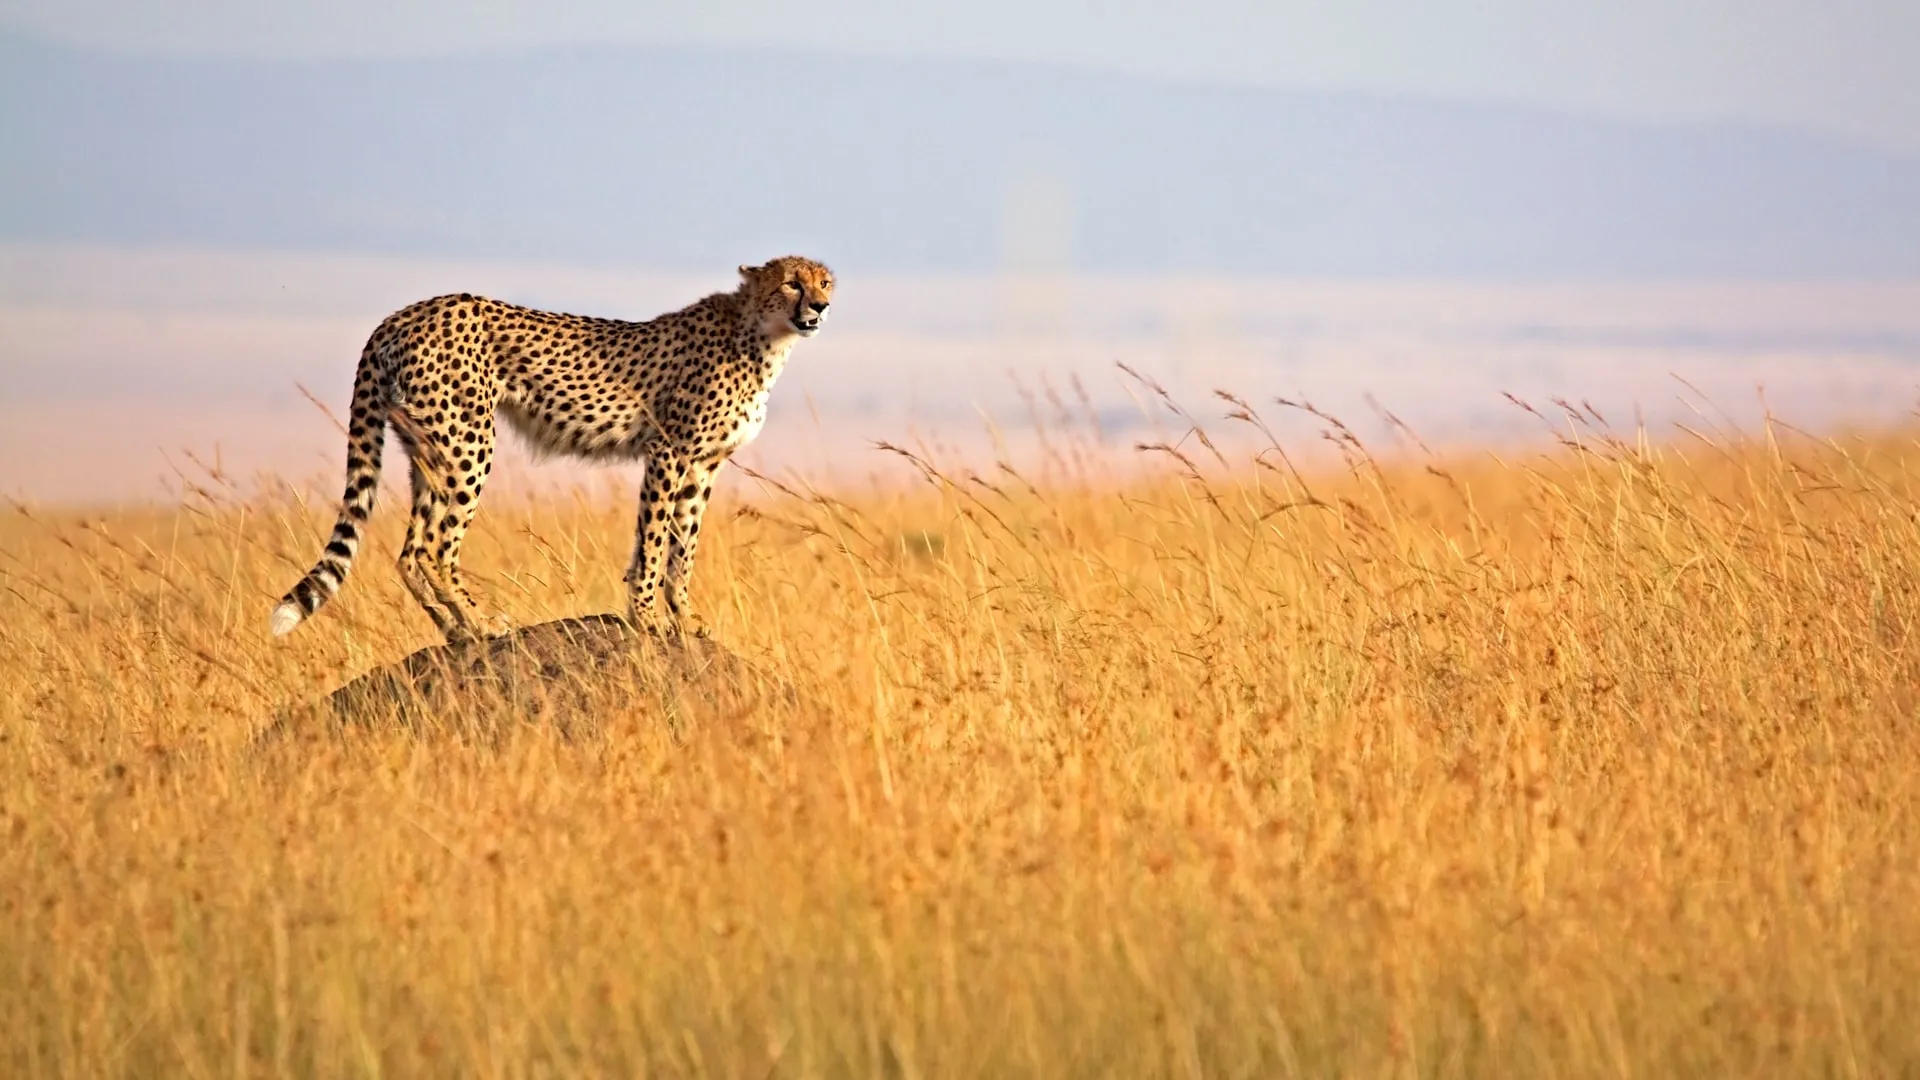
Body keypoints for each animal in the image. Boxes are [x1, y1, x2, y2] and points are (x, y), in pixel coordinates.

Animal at [268, 253, 833, 638]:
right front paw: (647, 617)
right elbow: (654, 540)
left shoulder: (702, 465)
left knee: (410, 552)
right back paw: (482, 623)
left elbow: (682, 545)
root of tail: (406, 312)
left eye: (825, 282)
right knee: (436, 547)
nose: (822, 307)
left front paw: (684, 617)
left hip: (428, 449)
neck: (762, 337)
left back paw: (453, 632)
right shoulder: (669, 451)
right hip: (469, 441)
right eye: (791, 282)